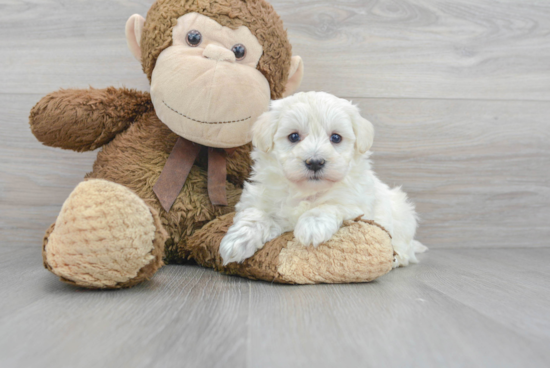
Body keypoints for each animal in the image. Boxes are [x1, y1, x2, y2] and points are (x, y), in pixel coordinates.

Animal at [220, 90, 426, 266]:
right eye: (293, 136)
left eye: (336, 138)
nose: (315, 162)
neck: (306, 190)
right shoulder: (259, 198)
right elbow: (255, 215)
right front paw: (237, 241)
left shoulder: (356, 203)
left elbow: (331, 204)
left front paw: (312, 226)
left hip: (402, 217)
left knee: (404, 248)